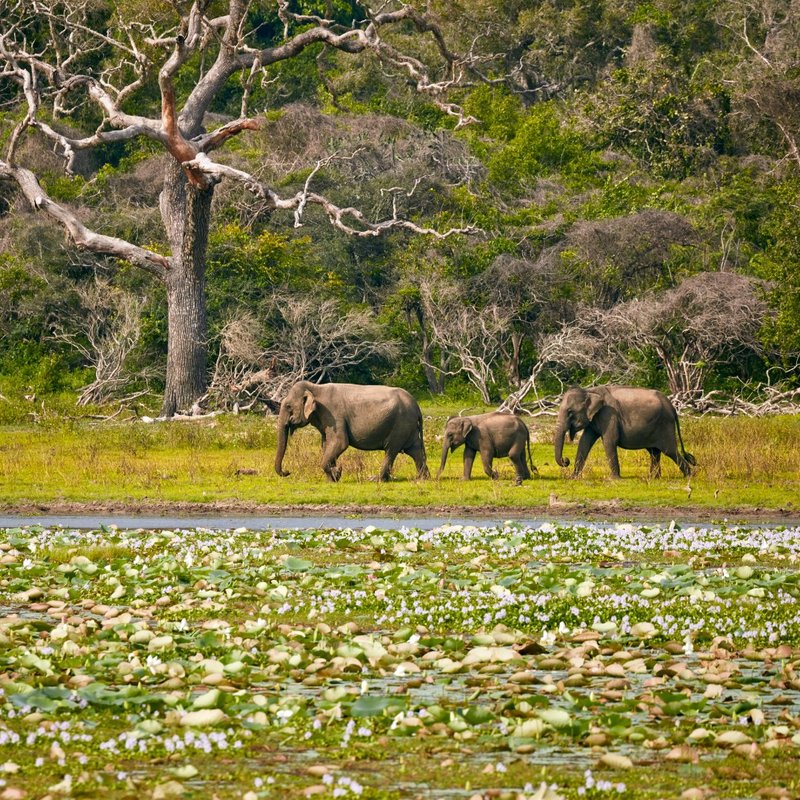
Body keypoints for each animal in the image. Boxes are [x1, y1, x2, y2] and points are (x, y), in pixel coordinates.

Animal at [274, 382, 432, 482]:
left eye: (288, 406)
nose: (287, 472)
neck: (315, 387)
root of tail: (416, 406)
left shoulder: (334, 415)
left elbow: (340, 443)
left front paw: (336, 473)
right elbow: (326, 444)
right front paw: (333, 478)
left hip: (400, 425)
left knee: (391, 451)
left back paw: (377, 480)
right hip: (408, 427)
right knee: (415, 451)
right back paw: (423, 479)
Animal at [556, 386, 692, 478]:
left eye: (570, 412)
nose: (566, 460)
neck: (589, 391)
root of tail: (672, 407)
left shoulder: (609, 415)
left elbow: (609, 441)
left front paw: (614, 479)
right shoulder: (594, 419)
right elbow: (584, 442)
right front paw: (573, 478)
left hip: (665, 425)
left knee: (669, 451)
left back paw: (689, 476)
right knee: (654, 452)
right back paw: (654, 478)